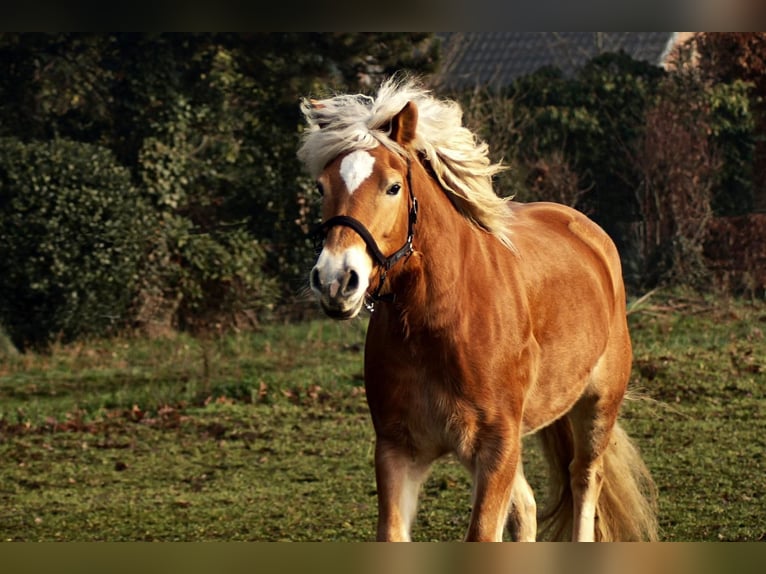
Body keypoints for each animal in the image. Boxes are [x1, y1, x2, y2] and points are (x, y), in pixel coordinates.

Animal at [300, 77, 660, 544]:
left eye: (392, 187)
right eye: (322, 187)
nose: (335, 280)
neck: (439, 323)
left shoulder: (495, 448)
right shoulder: (398, 451)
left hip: (597, 407)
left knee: (584, 480)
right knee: (528, 506)